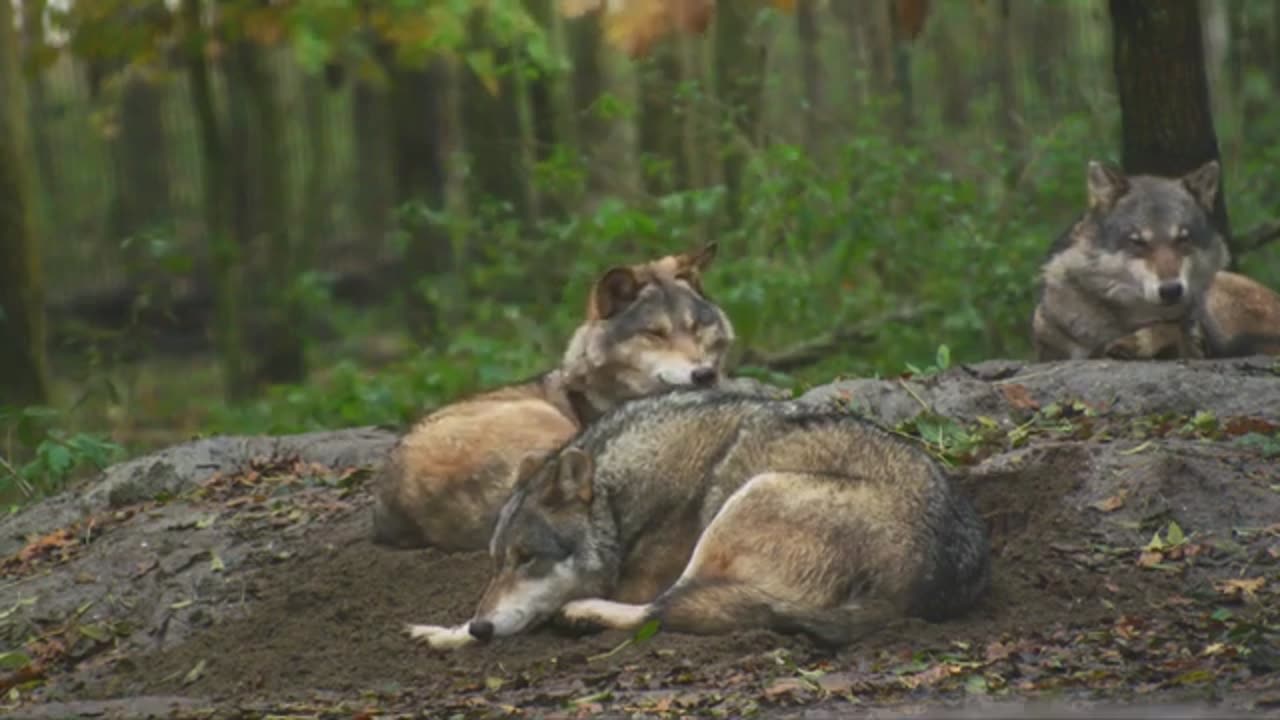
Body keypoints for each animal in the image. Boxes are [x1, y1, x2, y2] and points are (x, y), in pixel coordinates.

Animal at [404, 389, 993, 648]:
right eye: (496, 562)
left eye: (527, 558)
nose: (481, 626)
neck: (623, 502)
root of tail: (914, 589)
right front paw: (454, 628)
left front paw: (454, 633)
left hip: (748, 498)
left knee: (662, 611)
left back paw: (582, 615)